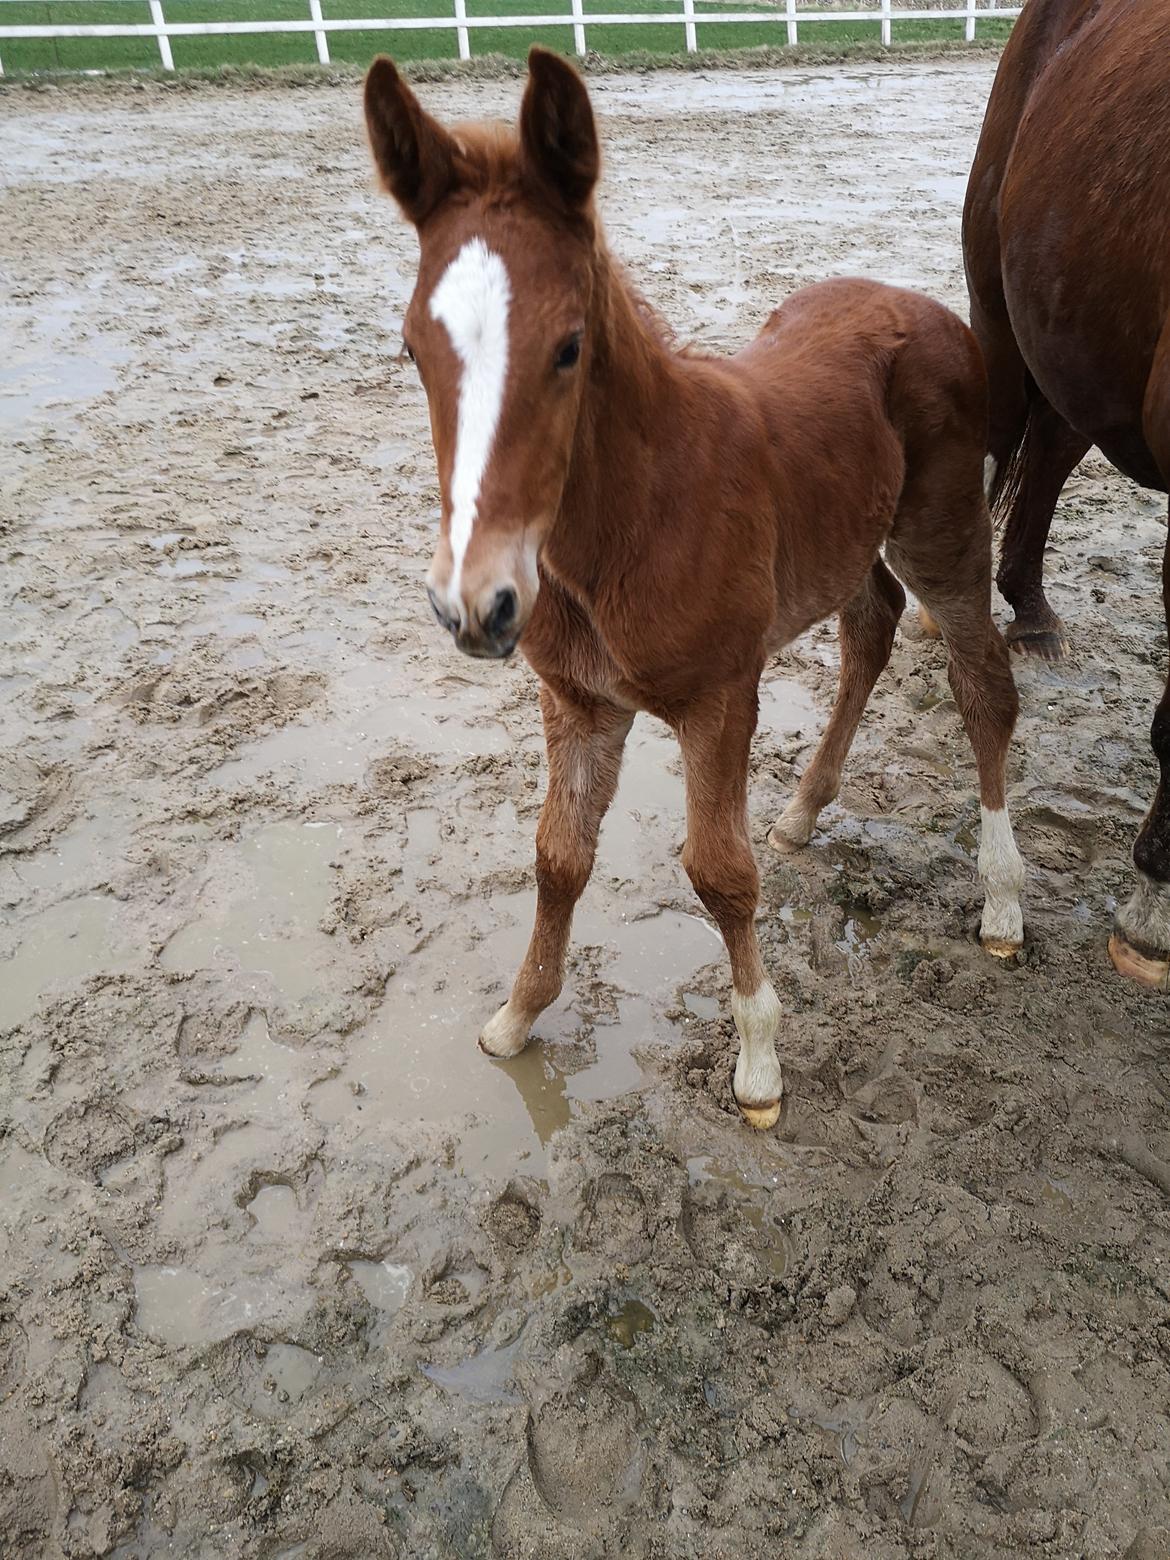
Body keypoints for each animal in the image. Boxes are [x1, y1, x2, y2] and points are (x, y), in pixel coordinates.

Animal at [366, 45, 1023, 1123]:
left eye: (569, 347)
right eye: (413, 350)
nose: (475, 607)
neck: (624, 528)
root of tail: (923, 305)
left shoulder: (720, 698)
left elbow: (718, 872)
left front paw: (758, 1064)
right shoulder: (580, 701)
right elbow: (558, 856)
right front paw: (518, 1015)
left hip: (943, 530)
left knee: (983, 685)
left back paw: (1002, 899)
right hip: (845, 540)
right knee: (873, 628)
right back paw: (803, 810)